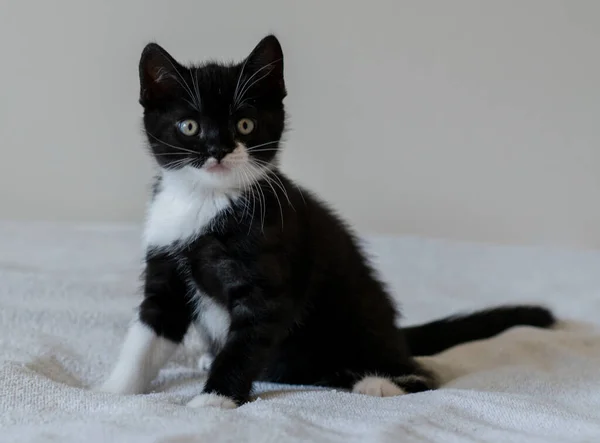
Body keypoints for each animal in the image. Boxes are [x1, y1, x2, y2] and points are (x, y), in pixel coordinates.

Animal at [96, 34, 556, 410]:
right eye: (189, 126)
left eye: (245, 124)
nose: (219, 149)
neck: (206, 203)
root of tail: (395, 334)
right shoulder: (165, 267)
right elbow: (146, 337)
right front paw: (113, 392)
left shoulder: (267, 279)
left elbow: (245, 345)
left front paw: (214, 400)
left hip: (357, 317)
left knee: (421, 373)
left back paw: (380, 383)